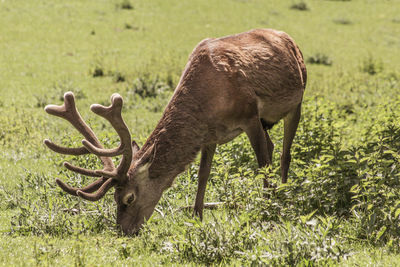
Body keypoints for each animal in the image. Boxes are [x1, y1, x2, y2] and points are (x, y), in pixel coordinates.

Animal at [43, 28, 306, 236]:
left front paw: (268, 208)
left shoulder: (250, 115)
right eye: (114, 198)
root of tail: (288, 37)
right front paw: (197, 217)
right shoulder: (210, 134)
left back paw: (284, 194)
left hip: (297, 101)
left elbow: (262, 164)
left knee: (285, 154)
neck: (209, 99)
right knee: (272, 146)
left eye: (129, 197)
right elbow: (203, 175)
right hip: (266, 121)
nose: (123, 231)